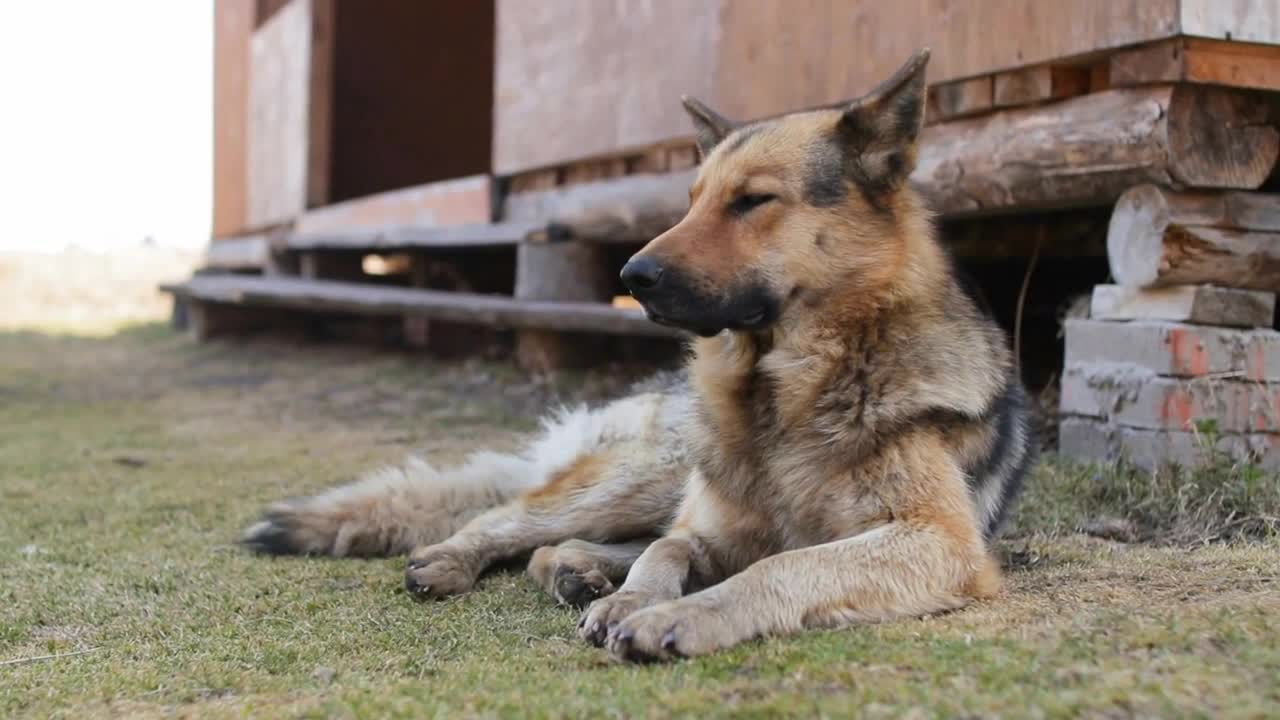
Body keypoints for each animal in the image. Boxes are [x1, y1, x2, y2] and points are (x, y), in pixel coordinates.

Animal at [244, 47, 1034, 661]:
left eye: (752, 201)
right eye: (691, 200)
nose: (631, 276)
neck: (783, 394)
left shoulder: (937, 541)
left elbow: (780, 566)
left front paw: (677, 612)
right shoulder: (707, 524)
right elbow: (671, 549)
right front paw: (639, 599)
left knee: (555, 547)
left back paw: (583, 577)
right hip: (647, 475)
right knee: (512, 520)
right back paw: (472, 560)